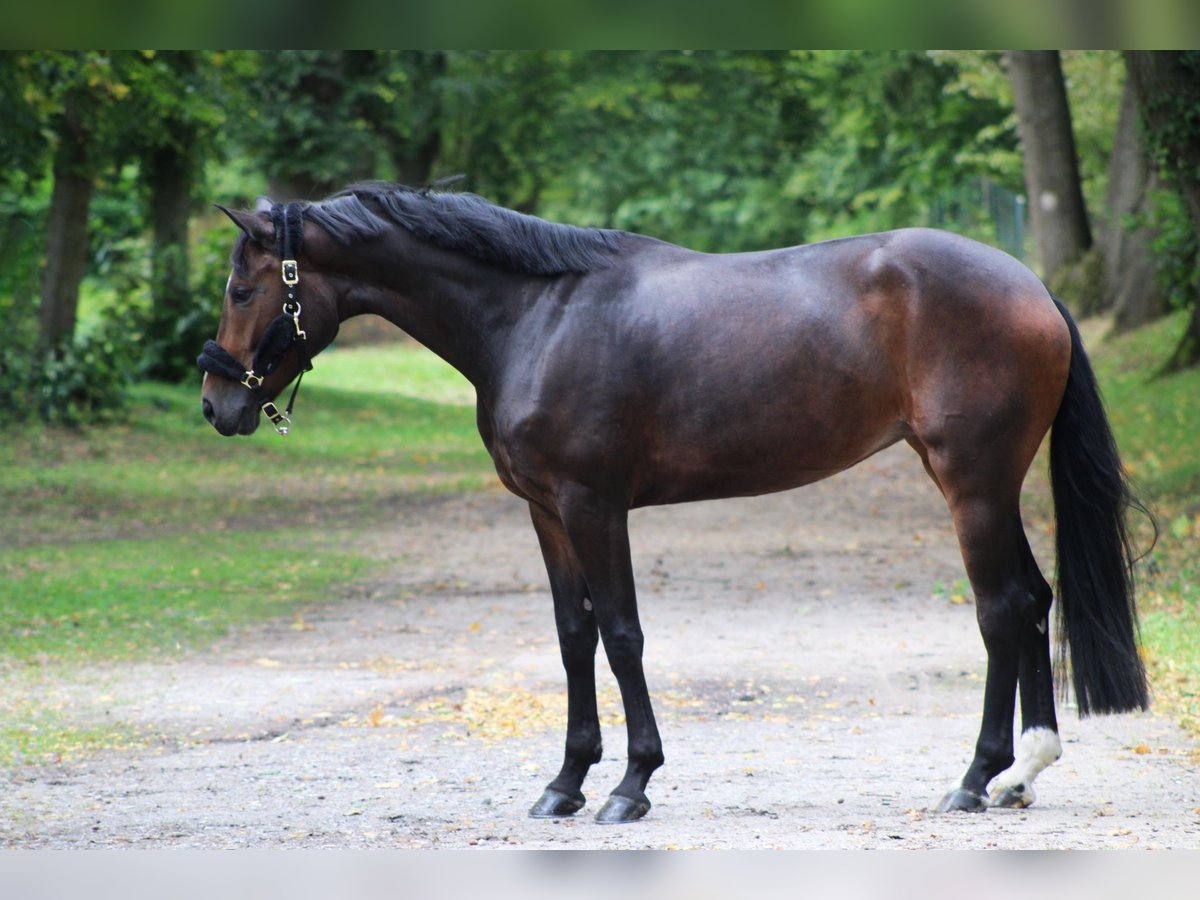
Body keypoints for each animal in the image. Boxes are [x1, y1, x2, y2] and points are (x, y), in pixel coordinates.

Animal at [201, 187, 1147, 830]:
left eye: (244, 291)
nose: (217, 405)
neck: (537, 315)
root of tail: (1031, 286)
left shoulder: (594, 506)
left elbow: (622, 635)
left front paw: (630, 785)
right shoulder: (546, 513)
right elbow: (573, 637)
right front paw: (565, 783)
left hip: (972, 481)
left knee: (1001, 610)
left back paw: (976, 777)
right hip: (987, 484)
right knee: (1033, 602)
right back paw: (1023, 774)